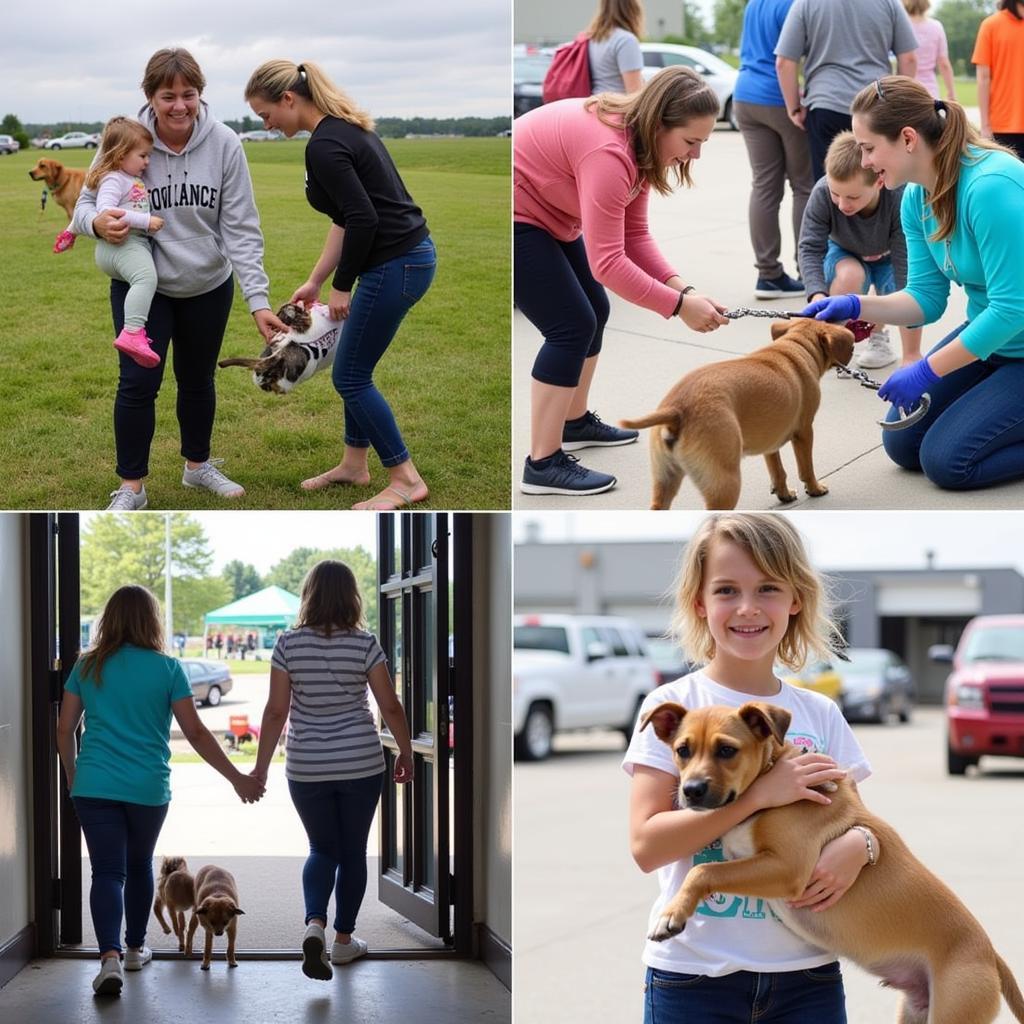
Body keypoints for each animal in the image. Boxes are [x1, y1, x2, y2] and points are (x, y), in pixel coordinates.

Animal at [622, 317, 856, 509]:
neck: (796, 347)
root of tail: (676, 410)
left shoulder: (770, 441)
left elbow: (777, 471)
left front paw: (783, 493)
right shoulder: (804, 432)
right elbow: (806, 468)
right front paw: (815, 488)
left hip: (664, 480)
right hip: (725, 483)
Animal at [638, 704, 1024, 1024]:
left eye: (727, 750)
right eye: (682, 750)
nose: (691, 791)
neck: (768, 779)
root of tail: (990, 954)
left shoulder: (788, 868)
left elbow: (704, 870)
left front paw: (671, 916)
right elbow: (710, 866)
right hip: (915, 1013)